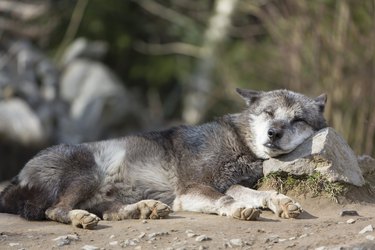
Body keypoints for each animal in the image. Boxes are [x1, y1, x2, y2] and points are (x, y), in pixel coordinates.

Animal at [0, 88, 326, 229]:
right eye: (268, 113)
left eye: (297, 119)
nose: (273, 133)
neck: (237, 142)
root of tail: (14, 179)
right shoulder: (193, 190)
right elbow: (227, 200)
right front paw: (238, 210)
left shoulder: (231, 183)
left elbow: (260, 194)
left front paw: (281, 202)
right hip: (87, 172)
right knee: (55, 210)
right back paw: (81, 218)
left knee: (109, 213)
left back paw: (145, 209)